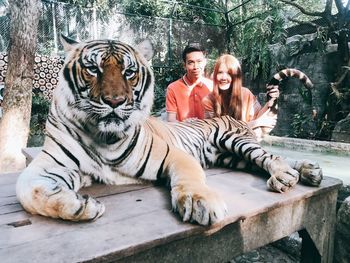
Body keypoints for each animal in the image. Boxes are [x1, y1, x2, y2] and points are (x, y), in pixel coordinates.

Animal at [16, 36, 322, 227]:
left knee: (272, 157)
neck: (102, 136)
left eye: (129, 72)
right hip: (231, 156)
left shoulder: (173, 155)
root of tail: (238, 120)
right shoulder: (51, 163)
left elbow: (190, 178)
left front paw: (200, 203)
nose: (115, 101)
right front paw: (81, 206)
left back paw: (286, 177)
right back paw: (309, 171)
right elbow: (28, 190)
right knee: (269, 159)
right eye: (93, 69)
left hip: (233, 139)